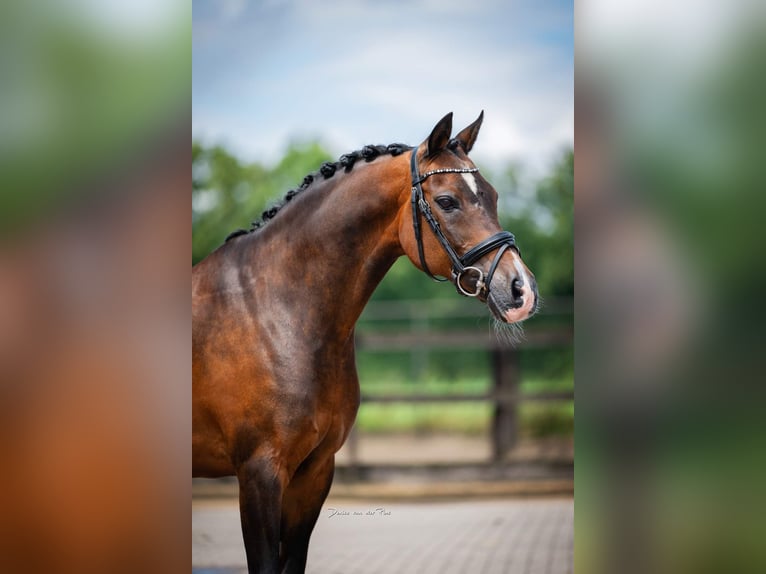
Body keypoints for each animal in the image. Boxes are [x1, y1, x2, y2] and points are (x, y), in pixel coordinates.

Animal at [192, 113, 540, 574]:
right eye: (448, 201)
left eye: (494, 195)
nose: (522, 291)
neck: (275, 311)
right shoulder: (259, 473)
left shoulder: (313, 472)